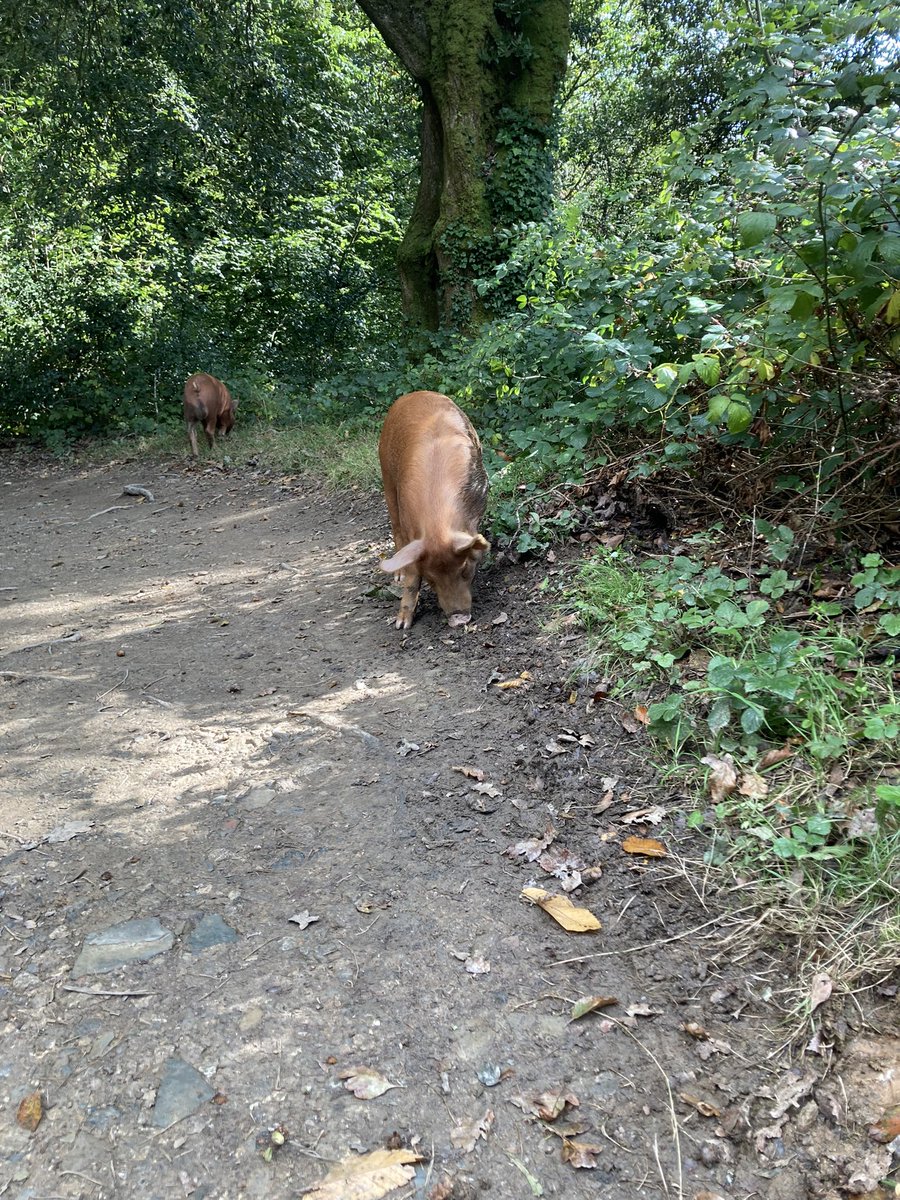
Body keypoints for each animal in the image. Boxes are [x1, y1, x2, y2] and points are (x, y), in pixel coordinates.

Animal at [379, 390, 490, 629]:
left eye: (464, 570)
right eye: (430, 579)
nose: (458, 619)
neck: (437, 520)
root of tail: (414, 394)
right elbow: (412, 579)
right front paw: (401, 625)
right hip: (386, 474)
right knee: (395, 529)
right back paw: (398, 576)